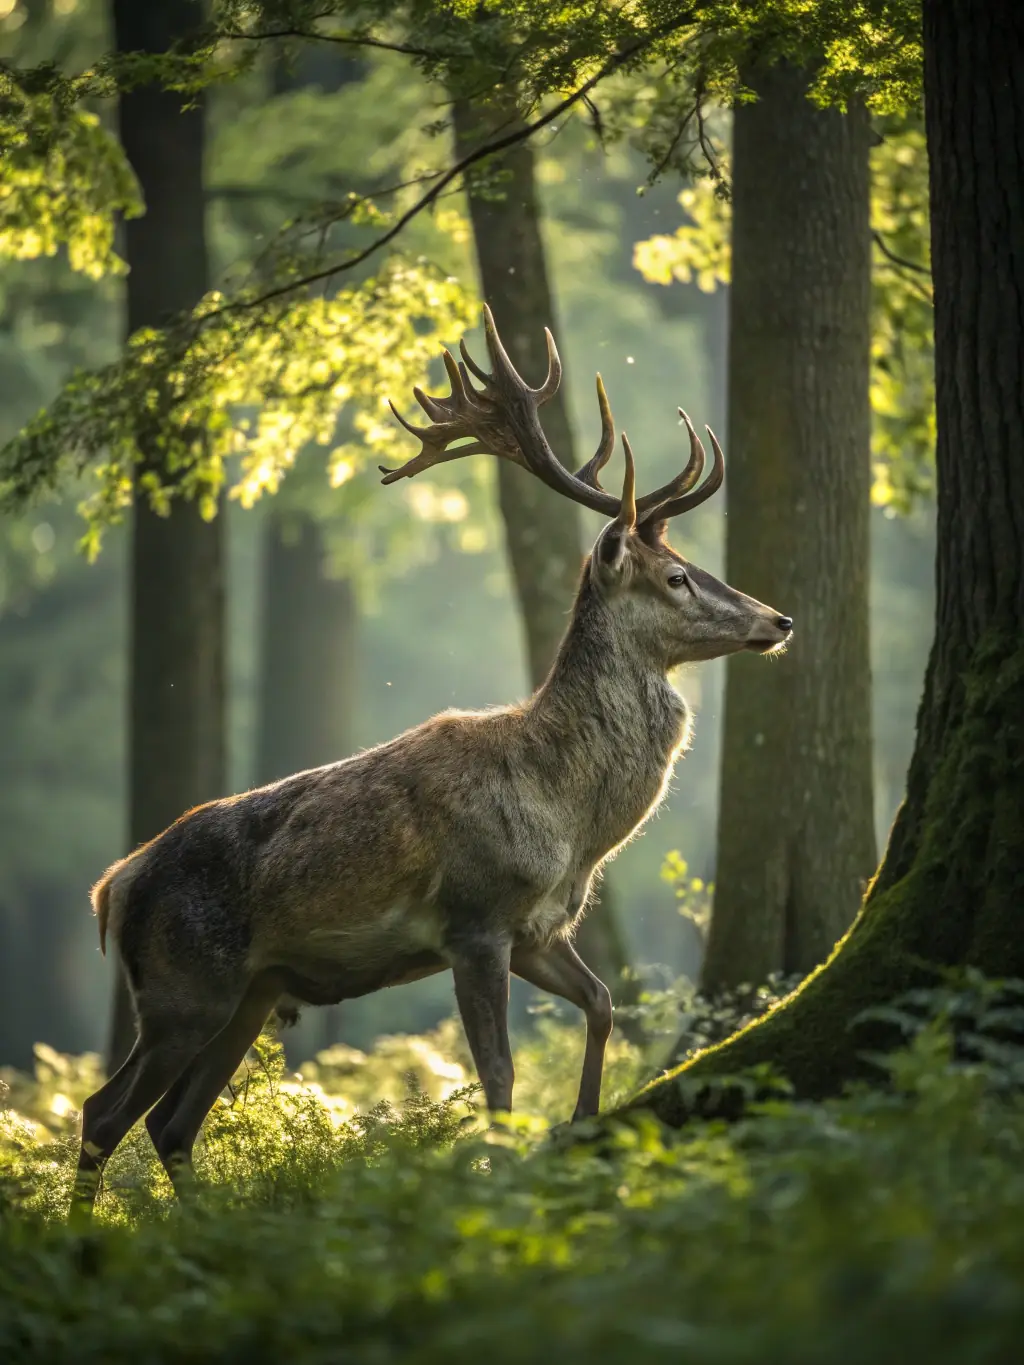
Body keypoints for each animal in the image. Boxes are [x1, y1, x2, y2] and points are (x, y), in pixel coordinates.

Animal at [72, 305, 791, 1211]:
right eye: (676, 576)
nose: (779, 619)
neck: (567, 822)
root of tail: (111, 888)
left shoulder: (539, 928)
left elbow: (602, 1003)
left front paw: (584, 1123)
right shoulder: (473, 920)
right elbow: (500, 1075)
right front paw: (508, 1181)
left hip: (251, 991)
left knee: (170, 1123)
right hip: (182, 986)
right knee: (104, 1111)